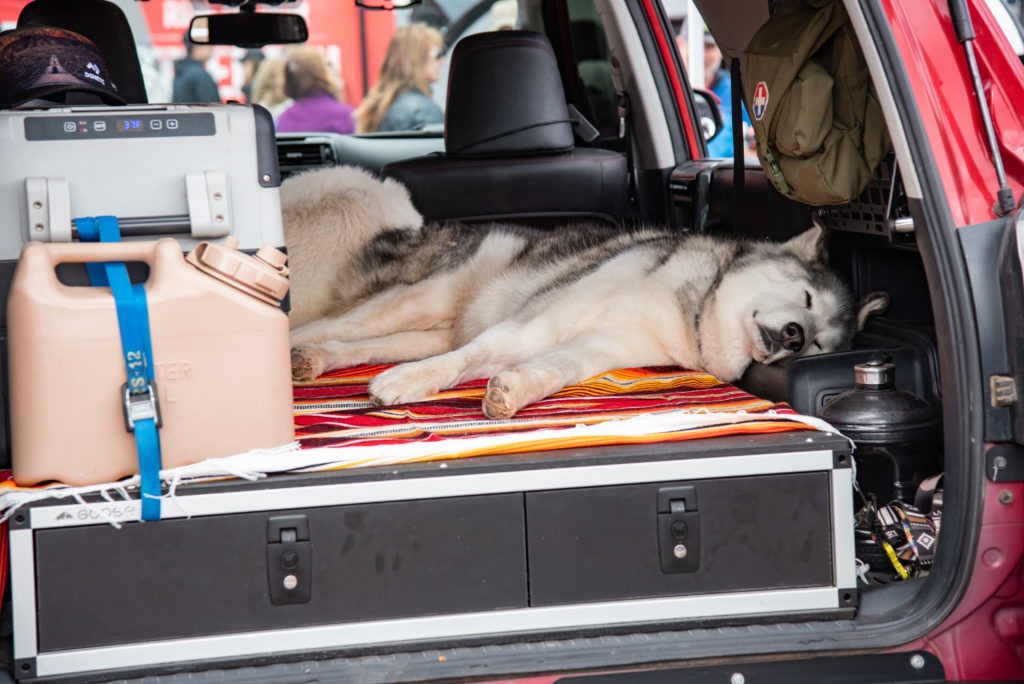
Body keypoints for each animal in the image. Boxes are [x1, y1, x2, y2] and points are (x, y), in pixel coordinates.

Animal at [282, 167, 888, 419]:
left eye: (822, 344)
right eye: (806, 300)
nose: (795, 336)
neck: (690, 309)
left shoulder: (601, 348)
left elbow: (554, 369)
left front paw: (514, 390)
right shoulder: (540, 319)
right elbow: (475, 356)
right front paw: (407, 385)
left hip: (423, 329)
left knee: (357, 345)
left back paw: (316, 361)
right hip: (413, 300)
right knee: (326, 325)